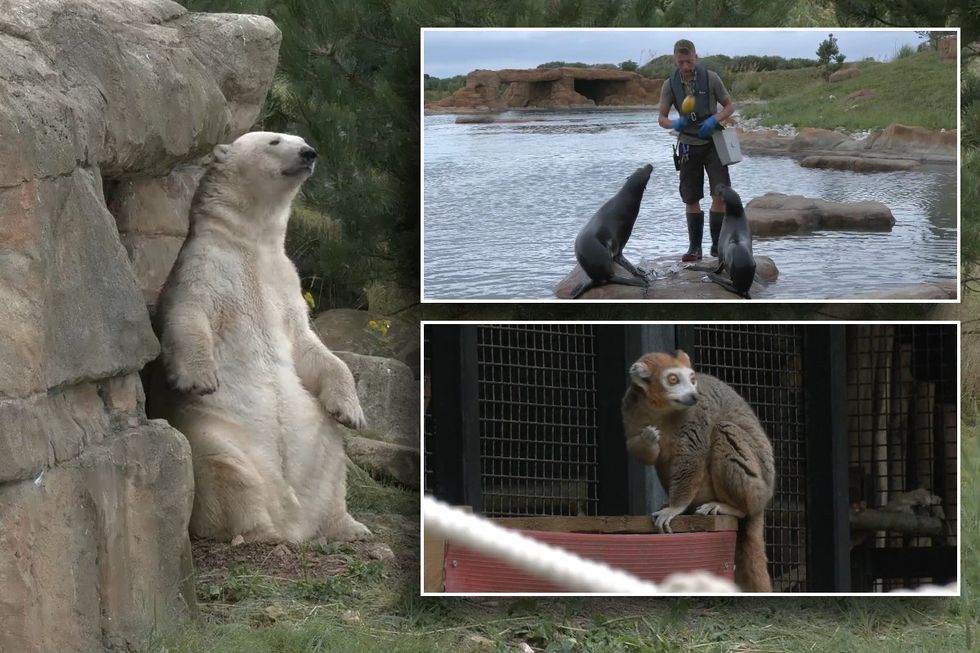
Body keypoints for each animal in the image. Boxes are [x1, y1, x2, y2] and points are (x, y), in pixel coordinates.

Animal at [157, 130, 372, 544]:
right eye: (274, 141)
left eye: (300, 139)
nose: (309, 153)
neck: (250, 241)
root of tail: (294, 522)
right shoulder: (203, 265)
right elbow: (187, 314)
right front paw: (200, 378)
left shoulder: (285, 281)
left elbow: (308, 343)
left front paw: (350, 410)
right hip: (218, 434)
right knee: (226, 469)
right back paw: (261, 532)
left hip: (317, 441)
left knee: (333, 462)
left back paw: (350, 527)